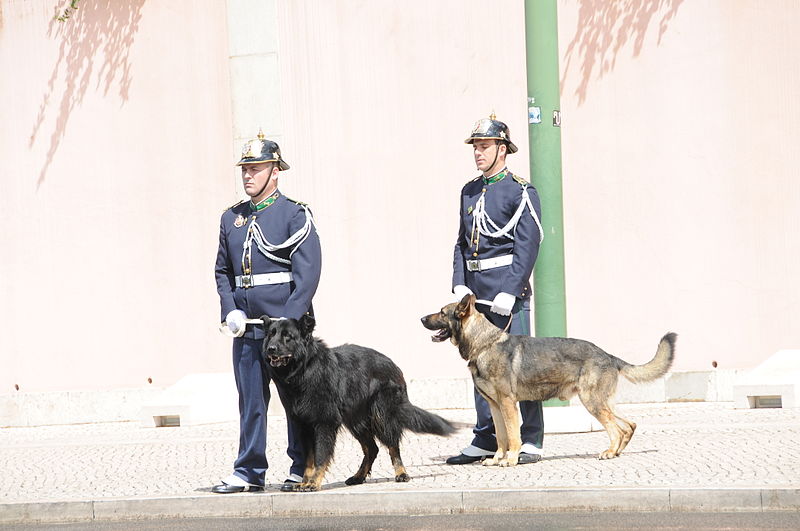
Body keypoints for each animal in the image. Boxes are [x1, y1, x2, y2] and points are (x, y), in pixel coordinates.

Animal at [260, 314, 456, 492]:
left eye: (288, 336)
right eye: (271, 334)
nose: (270, 349)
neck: (305, 369)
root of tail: (393, 364)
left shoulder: (324, 423)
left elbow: (321, 456)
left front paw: (313, 483)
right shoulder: (304, 426)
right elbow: (309, 459)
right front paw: (305, 482)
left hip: (382, 416)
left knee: (392, 445)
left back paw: (401, 473)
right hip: (356, 421)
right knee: (372, 449)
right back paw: (358, 476)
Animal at [418, 298, 676, 468]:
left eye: (442, 312)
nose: (420, 318)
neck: (484, 344)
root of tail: (607, 355)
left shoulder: (508, 404)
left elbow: (513, 436)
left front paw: (511, 459)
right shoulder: (495, 407)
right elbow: (501, 437)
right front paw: (497, 458)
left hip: (592, 402)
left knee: (615, 428)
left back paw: (609, 452)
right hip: (604, 402)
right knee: (628, 425)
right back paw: (617, 452)